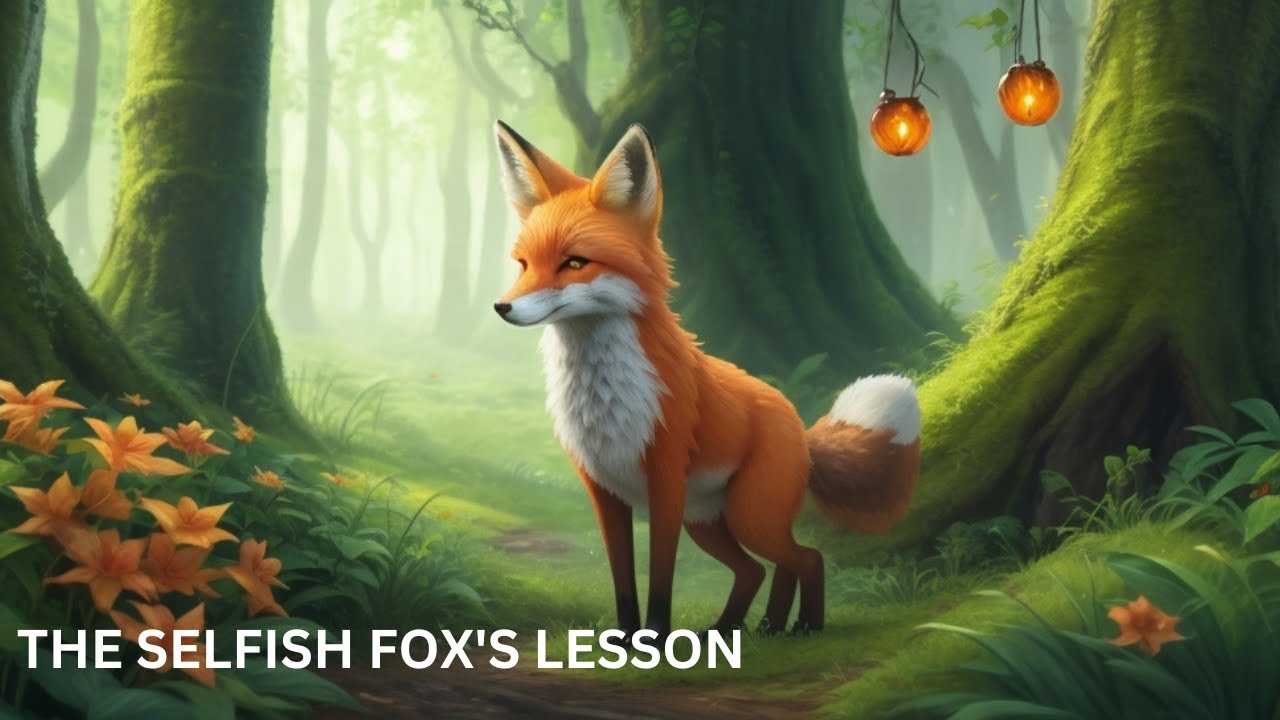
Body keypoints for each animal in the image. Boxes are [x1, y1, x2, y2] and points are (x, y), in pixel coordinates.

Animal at [491, 120, 920, 636]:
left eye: (574, 263)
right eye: (523, 264)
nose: (501, 307)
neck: (602, 400)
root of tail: (801, 427)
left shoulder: (666, 483)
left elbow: (660, 576)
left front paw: (655, 638)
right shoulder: (602, 492)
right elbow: (622, 577)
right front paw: (625, 637)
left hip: (748, 515)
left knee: (805, 558)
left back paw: (802, 627)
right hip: (710, 523)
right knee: (760, 569)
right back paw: (750, 628)